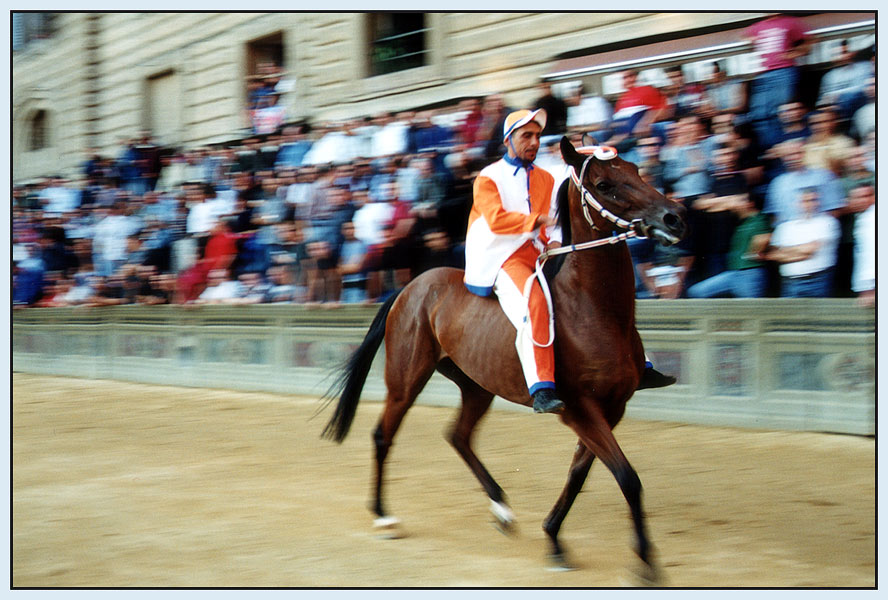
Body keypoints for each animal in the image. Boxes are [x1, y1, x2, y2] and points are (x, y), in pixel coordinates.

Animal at [324, 137, 688, 580]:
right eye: (604, 184)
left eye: (636, 170)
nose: (674, 218)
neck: (593, 310)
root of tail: (411, 286)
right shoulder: (579, 408)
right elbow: (627, 477)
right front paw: (645, 561)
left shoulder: (611, 408)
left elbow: (579, 473)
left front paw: (553, 536)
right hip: (406, 378)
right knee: (383, 435)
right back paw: (383, 516)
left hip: (476, 384)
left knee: (459, 435)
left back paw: (501, 508)